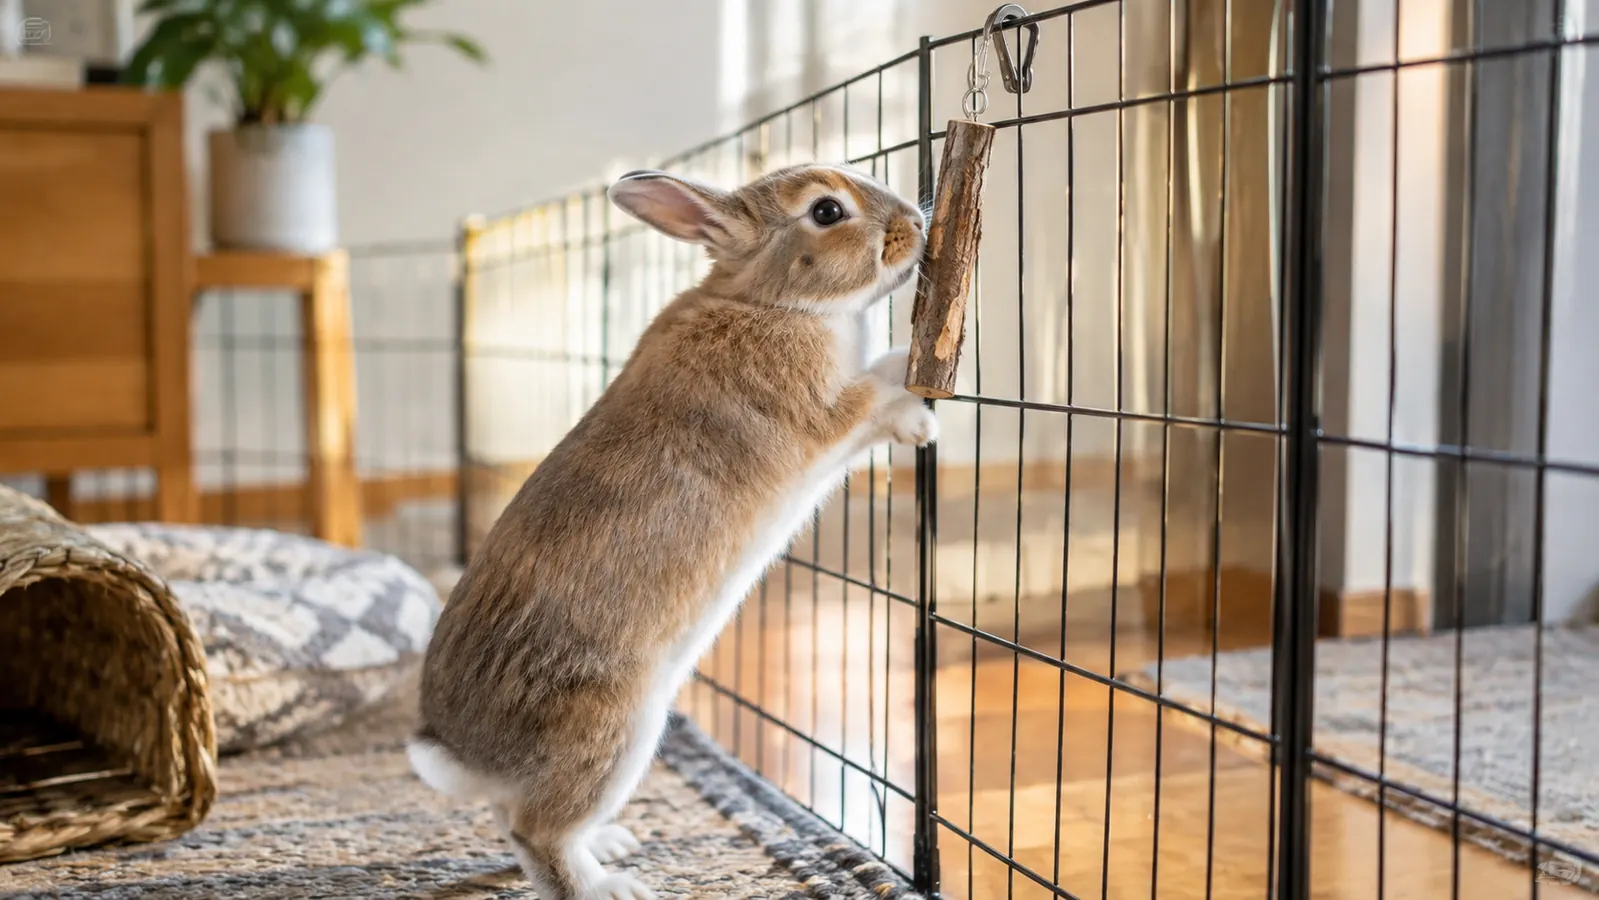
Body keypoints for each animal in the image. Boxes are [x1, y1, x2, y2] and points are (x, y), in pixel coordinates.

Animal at [407, 163, 937, 900]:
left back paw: (612, 846)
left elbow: (883, 369)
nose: (915, 224)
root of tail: (459, 752)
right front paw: (921, 419)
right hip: (614, 731)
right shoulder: (824, 411)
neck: (774, 303)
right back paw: (611, 887)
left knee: (512, 821)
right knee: (537, 832)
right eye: (827, 212)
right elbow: (876, 395)